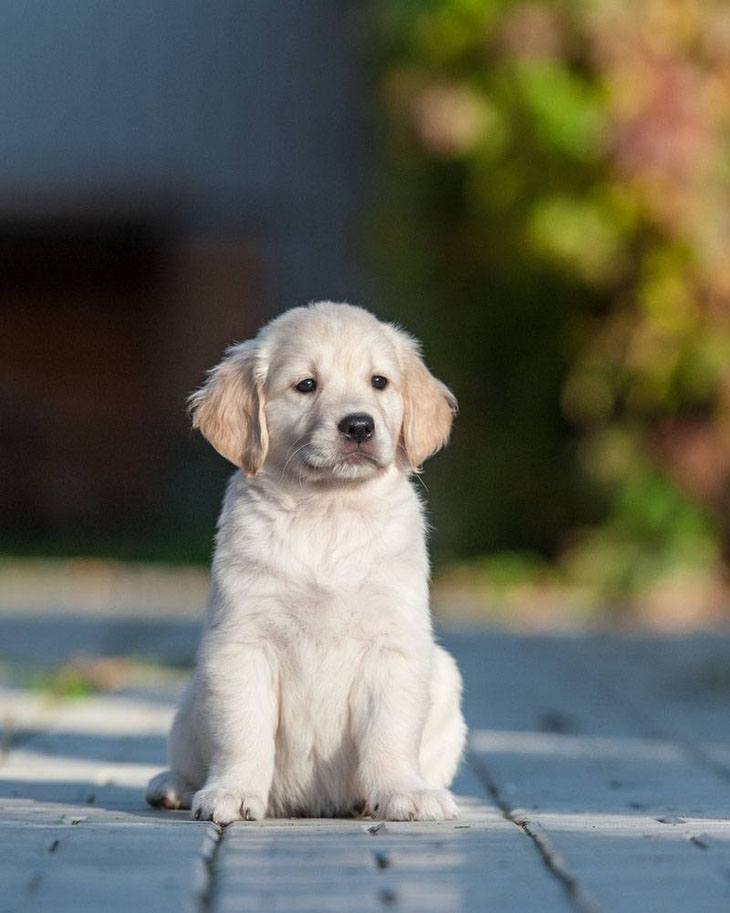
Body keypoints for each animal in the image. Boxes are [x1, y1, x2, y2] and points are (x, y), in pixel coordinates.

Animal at [146, 302, 466, 824]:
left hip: (446, 679)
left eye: (379, 381)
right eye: (306, 385)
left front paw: (403, 791)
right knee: (187, 758)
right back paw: (173, 785)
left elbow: (391, 731)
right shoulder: (243, 644)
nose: (358, 426)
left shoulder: (394, 645)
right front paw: (233, 791)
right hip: (192, 697)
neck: (327, 511)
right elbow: (243, 731)